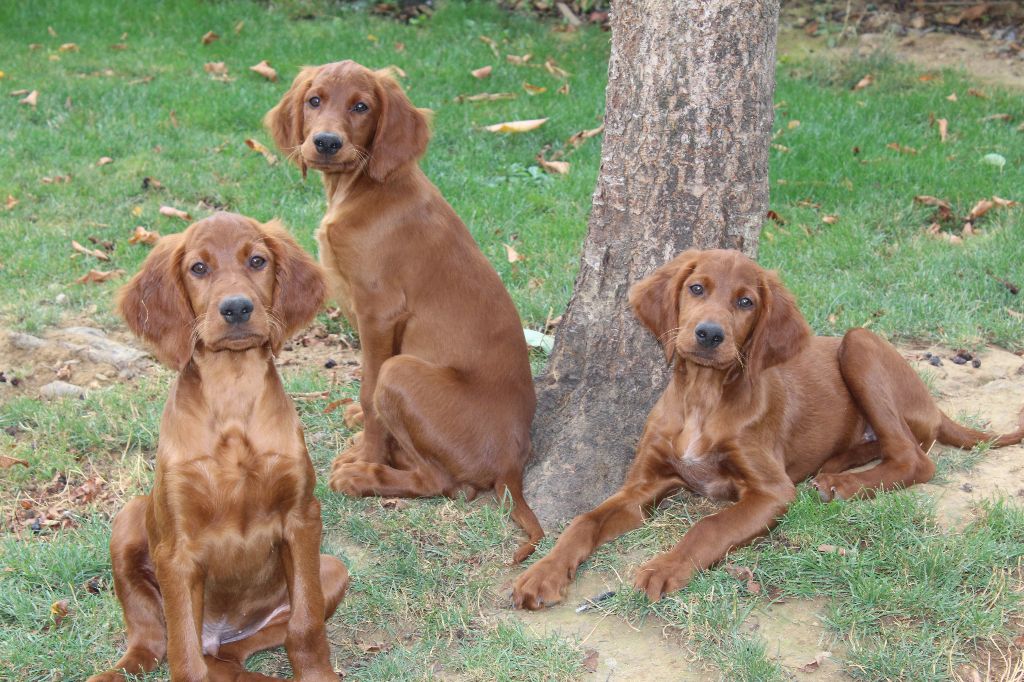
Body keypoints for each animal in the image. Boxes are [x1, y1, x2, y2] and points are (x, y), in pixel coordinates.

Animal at [89, 212, 344, 679]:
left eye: (257, 260)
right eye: (199, 268)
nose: (237, 307)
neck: (232, 390)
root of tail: (218, 633)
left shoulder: (302, 518)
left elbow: (306, 624)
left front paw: (317, 674)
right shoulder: (177, 549)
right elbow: (183, 655)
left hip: (331, 569)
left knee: (231, 655)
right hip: (129, 519)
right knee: (154, 640)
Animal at [264, 59, 544, 557]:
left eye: (361, 107)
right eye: (314, 100)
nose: (327, 142)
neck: (364, 187)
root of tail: (514, 466)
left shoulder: (379, 311)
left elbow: (369, 387)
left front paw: (366, 449)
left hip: (404, 373)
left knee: (442, 482)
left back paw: (363, 476)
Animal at [516, 248, 1019, 606]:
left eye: (746, 302)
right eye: (696, 288)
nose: (710, 334)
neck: (704, 398)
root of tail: (933, 405)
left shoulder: (771, 491)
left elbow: (709, 527)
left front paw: (665, 567)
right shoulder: (642, 485)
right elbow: (583, 520)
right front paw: (542, 573)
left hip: (859, 344)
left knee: (916, 458)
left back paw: (842, 485)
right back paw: (836, 467)